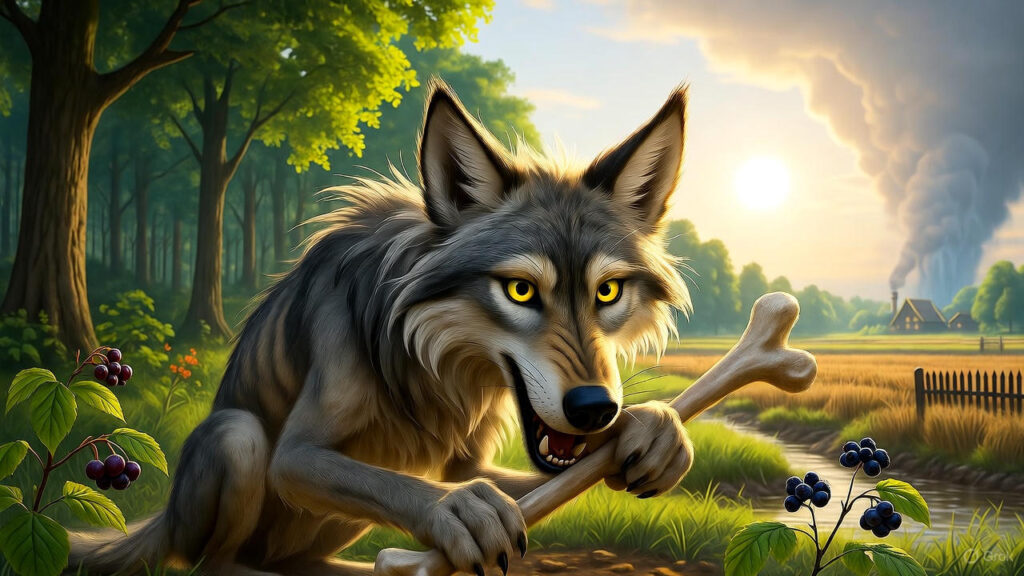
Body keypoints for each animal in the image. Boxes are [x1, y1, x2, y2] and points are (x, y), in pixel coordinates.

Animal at [71, 82, 695, 575]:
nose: (595, 408)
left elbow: (512, 478)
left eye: (607, 292)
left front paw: (654, 428)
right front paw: (456, 509)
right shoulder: (295, 455)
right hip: (235, 438)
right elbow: (403, 484)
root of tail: (163, 518)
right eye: (520, 290)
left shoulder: (473, 461)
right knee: (216, 560)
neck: (439, 360)